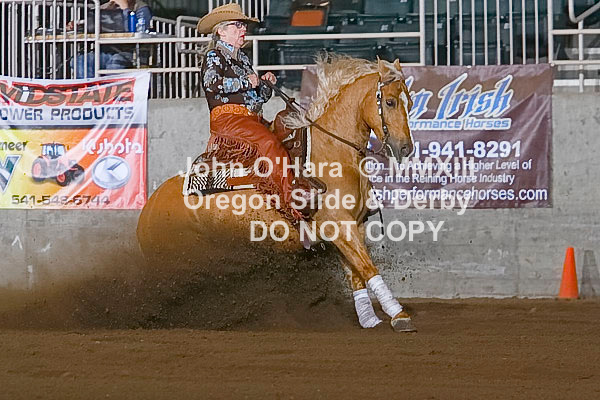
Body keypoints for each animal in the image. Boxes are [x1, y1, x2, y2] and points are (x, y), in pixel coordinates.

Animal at [136, 55, 416, 331]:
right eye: (390, 102)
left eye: (410, 102)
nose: (406, 148)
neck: (331, 151)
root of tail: (148, 210)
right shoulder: (339, 225)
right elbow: (367, 267)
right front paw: (399, 315)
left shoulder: (353, 225)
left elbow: (356, 274)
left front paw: (369, 319)